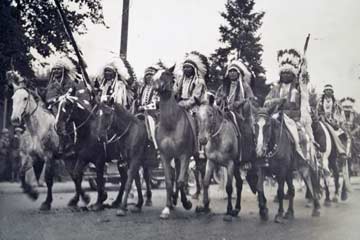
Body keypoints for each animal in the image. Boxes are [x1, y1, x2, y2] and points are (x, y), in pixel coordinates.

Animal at [151, 66, 194, 219]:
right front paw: (167, 207)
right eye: (154, 75)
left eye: (166, 73)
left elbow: (181, 181)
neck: (171, 123)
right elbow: (169, 182)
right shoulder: (165, 156)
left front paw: (187, 203)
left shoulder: (185, 155)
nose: (154, 84)